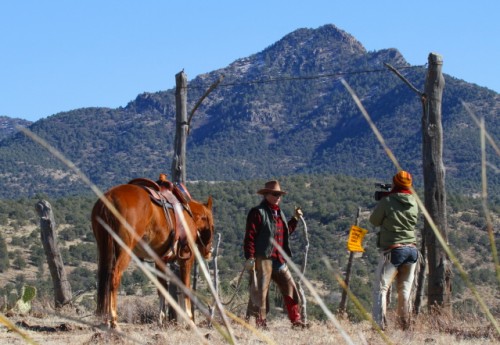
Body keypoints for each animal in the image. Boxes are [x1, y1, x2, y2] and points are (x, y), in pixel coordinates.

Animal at [92, 183, 213, 328]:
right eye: (212, 224)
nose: (209, 252)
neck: (189, 216)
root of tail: (109, 198)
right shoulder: (185, 258)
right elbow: (186, 288)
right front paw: (190, 320)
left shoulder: (160, 260)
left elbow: (162, 288)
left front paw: (161, 319)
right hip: (124, 249)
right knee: (114, 277)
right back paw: (114, 320)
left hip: (104, 248)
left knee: (104, 280)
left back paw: (105, 320)